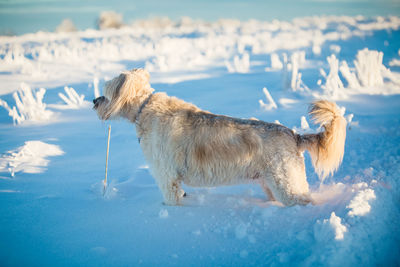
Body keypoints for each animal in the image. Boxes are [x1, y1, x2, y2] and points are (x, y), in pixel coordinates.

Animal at [92, 69, 346, 207]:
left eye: (106, 91)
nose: (94, 101)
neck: (144, 110)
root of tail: (294, 136)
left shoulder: (166, 177)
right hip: (270, 183)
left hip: (288, 185)